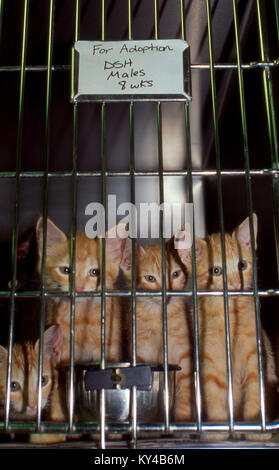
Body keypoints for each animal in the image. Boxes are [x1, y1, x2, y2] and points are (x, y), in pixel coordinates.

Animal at [121, 241, 196, 420]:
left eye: (175, 274)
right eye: (150, 278)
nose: (165, 294)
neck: (158, 315)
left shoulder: (184, 353)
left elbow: (186, 387)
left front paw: (182, 418)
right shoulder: (140, 349)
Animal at [176, 215, 278, 438]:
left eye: (242, 265)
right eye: (216, 270)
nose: (234, 285)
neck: (229, 313)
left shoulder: (255, 357)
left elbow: (255, 391)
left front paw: (255, 428)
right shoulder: (209, 361)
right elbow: (214, 396)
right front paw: (218, 430)